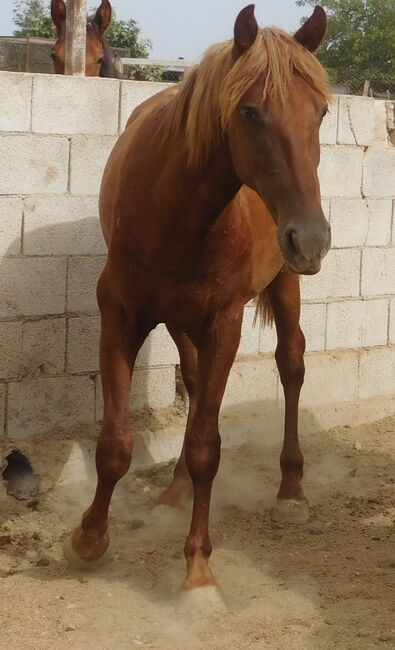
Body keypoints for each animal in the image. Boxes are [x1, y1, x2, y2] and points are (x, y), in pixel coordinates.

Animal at [63, 3, 332, 608]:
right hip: (181, 320)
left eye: (322, 112)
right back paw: (174, 492)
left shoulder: (224, 323)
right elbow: (116, 443)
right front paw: (89, 538)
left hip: (283, 285)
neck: (177, 208)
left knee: (292, 365)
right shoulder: (121, 317)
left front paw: (198, 571)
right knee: (193, 377)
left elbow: (209, 444)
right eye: (251, 111)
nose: (311, 239)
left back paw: (291, 491)